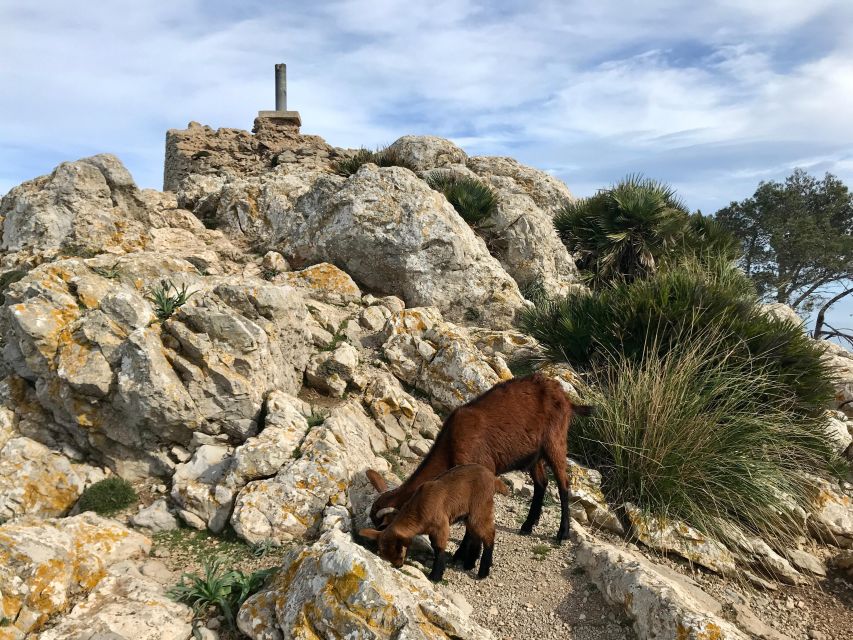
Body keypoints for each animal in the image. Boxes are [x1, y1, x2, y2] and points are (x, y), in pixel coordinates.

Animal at [360, 464, 506, 580]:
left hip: (480, 508)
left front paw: (435, 576)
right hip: (469, 515)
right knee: (475, 534)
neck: (419, 509)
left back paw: (483, 572)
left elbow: (438, 548)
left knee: (488, 534)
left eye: (398, 549)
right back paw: (469, 564)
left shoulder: (440, 526)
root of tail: (493, 478)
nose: (398, 565)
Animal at [366, 372, 592, 544]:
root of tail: (565, 398)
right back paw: (528, 525)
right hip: (533, 454)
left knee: (563, 484)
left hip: (554, 442)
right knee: (541, 483)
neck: (451, 443)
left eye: (384, 524)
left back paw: (562, 533)